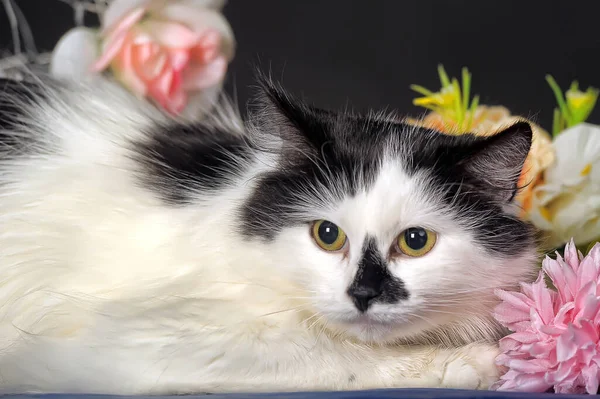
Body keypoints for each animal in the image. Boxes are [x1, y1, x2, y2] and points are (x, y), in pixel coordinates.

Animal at [0, 73, 536, 396]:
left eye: (415, 241)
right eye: (327, 234)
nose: (363, 294)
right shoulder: (140, 340)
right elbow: (334, 356)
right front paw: (480, 361)